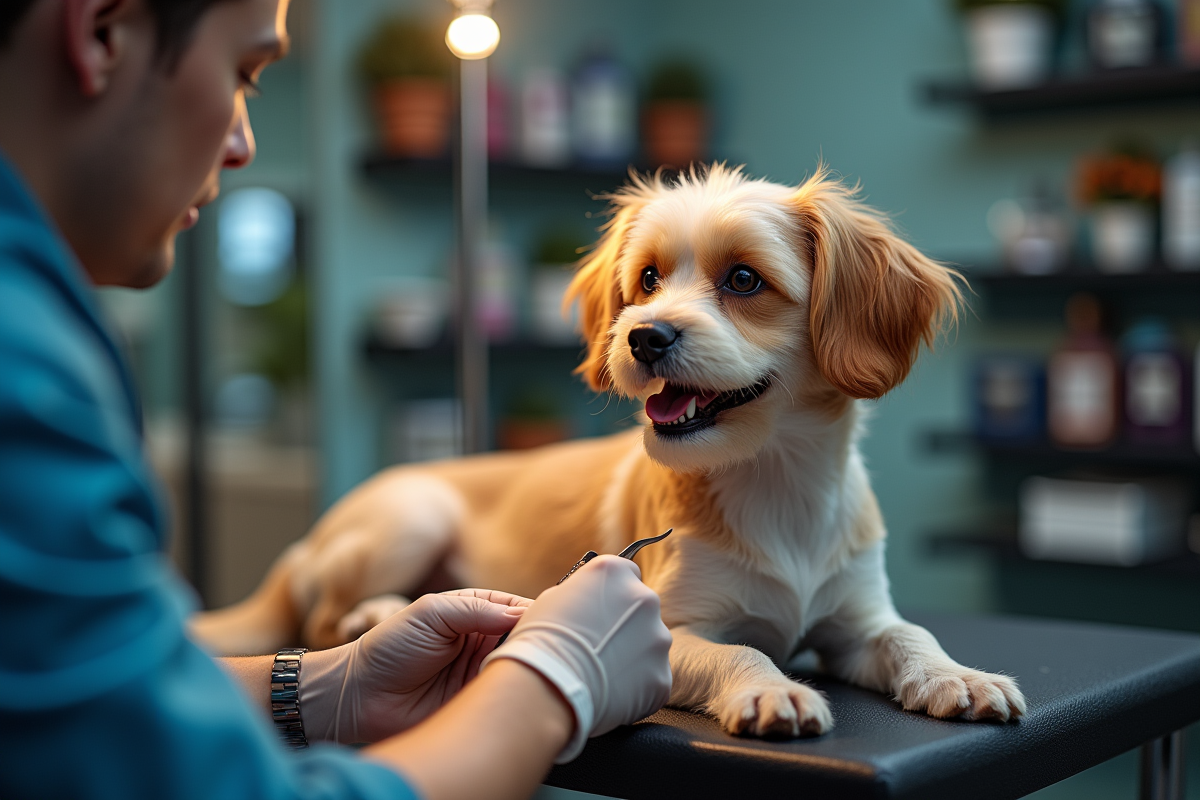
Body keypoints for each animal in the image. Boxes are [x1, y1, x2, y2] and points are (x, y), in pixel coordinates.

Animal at [192, 164, 1027, 738]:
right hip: (410, 520)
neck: (775, 480)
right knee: (326, 614)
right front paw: (772, 687)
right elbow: (739, 652)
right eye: (647, 279)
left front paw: (957, 675)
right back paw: (375, 612)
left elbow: (910, 634)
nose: (643, 336)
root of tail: (305, 547)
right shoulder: (672, 628)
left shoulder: (857, 620)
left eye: (744, 279)